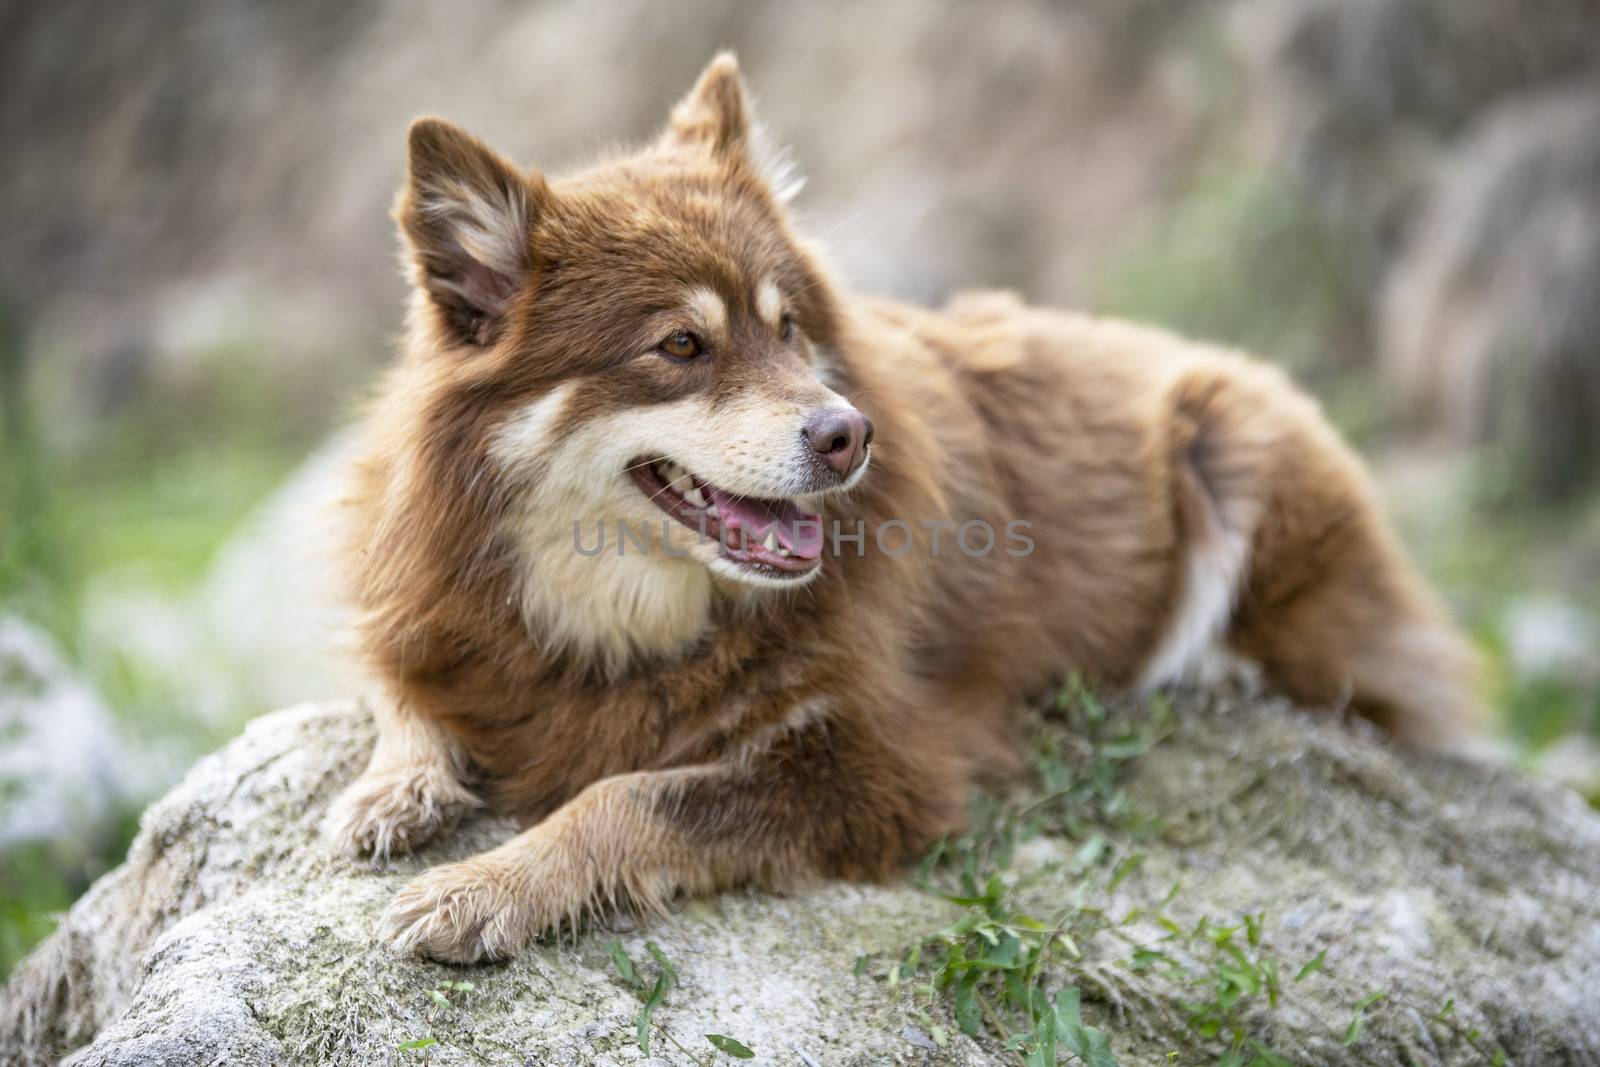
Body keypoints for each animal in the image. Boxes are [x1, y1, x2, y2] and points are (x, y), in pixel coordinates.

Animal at [324, 54, 1484, 966]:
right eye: (681, 345)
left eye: (789, 329)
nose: (848, 434)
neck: (619, 617)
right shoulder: (422, 615)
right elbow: (402, 689)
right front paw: (393, 790)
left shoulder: (878, 763)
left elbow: (631, 795)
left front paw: (486, 885)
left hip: (1233, 439)